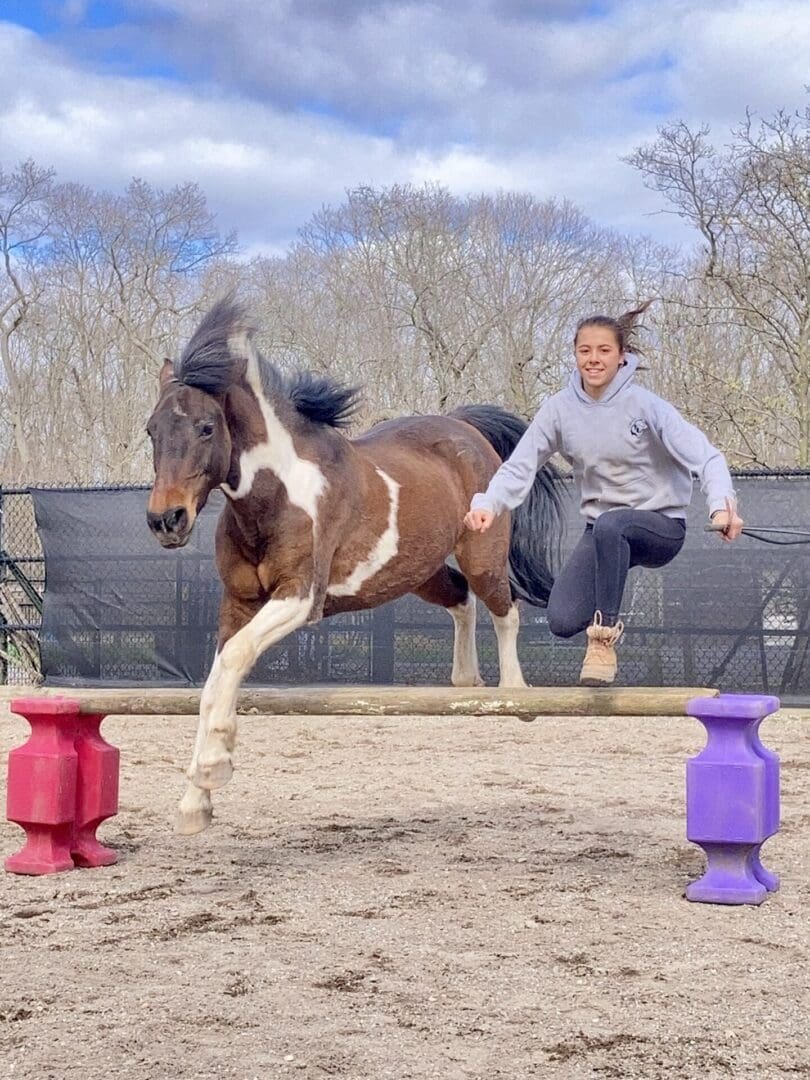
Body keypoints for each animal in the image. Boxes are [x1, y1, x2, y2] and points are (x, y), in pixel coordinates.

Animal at [146, 298, 566, 834]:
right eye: (152, 430)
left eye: (206, 427)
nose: (166, 520)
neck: (273, 496)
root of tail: (464, 427)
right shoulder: (238, 602)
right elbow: (217, 677)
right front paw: (195, 801)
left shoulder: (299, 597)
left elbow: (234, 660)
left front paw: (212, 770)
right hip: (417, 570)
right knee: (461, 600)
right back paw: (465, 682)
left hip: (481, 554)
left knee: (504, 608)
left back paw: (514, 696)